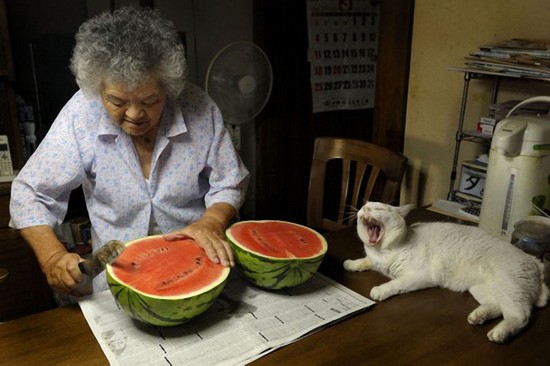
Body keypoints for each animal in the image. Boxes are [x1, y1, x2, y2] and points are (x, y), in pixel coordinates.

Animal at [344, 200, 550, 344]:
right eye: (364, 205)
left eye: (379, 209)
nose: (364, 209)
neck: (383, 251)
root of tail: (535, 261)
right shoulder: (374, 260)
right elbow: (365, 261)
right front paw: (350, 264)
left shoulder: (418, 276)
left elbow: (394, 283)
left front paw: (379, 290)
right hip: (482, 290)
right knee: (498, 307)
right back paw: (478, 316)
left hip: (509, 289)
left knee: (520, 316)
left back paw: (498, 333)